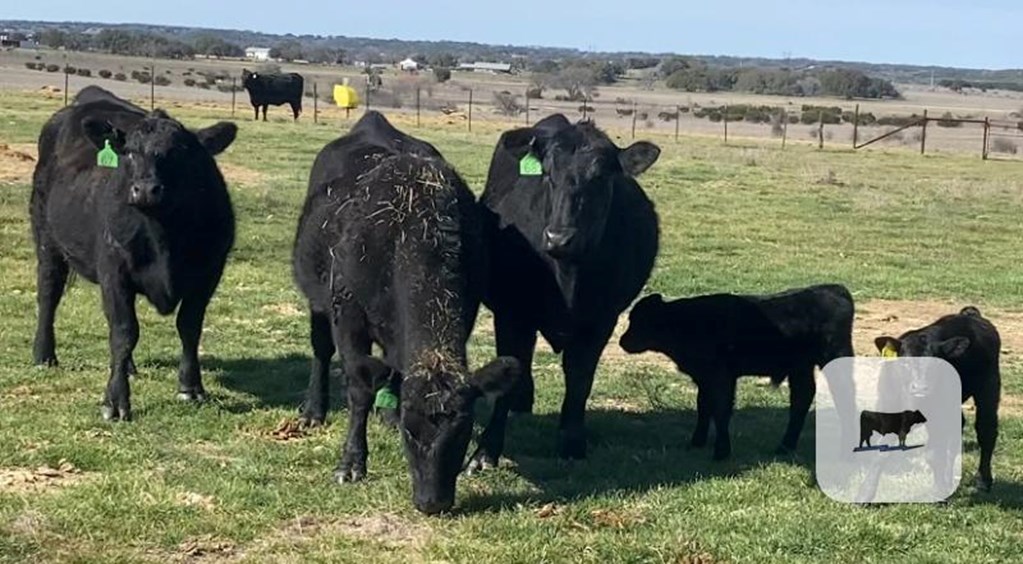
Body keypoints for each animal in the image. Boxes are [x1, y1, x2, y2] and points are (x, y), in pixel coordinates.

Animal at [29, 85, 237, 421]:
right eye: (128, 152)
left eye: (179, 152)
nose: (145, 190)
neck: (164, 234)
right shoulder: (114, 272)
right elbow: (124, 332)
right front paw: (115, 401)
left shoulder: (208, 273)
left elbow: (189, 327)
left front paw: (190, 387)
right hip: (47, 240)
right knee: (49, 294)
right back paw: (44, 355)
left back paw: (129, 367)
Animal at [294, 111, 519, 515]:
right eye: (409, 431)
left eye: (463, 432)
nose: (433, 502)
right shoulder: (347, 317)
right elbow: (358, 389)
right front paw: (352, 463)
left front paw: (386, 413)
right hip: (320, 301)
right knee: (321, 351)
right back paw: (313, 411)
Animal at [472, 113, 662, 468]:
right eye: (548, 174)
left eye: (600, 177)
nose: (559, 238)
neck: (567, 276)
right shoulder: (512, 312)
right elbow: (510, 367)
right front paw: (486, 450)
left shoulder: (602, 319)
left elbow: (579, 377)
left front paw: (572, 442)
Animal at [617, 284, 859, 460]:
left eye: (640, 321)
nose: (622, 341)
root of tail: (834, 289)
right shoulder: (704, 377)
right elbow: (703, 407)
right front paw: (697, 443)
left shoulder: (720, 376)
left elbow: (721, 410)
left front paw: (721, 452)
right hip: (801, 366)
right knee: (802, 398)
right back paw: (784, 446)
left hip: (835, 356)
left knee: (845, 396)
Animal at [875, 305, 1002, 489]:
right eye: (905, 362)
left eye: (937, 364)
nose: (920, 387)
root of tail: (971, 315)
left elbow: (934, 454)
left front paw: (939, 489)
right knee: (958, 429)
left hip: (989, 386)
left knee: (986, 430)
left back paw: (983, 480)